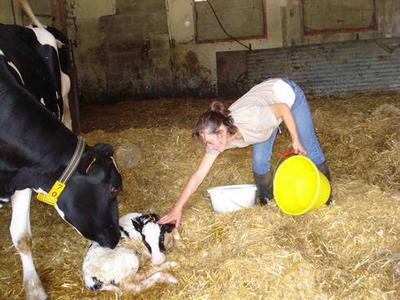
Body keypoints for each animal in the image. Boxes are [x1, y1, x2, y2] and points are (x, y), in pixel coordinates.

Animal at [0, 24, 122, 300]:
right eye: (114, 188)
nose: (117, 237)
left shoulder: (25, 175)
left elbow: (21, 236)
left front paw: (34, 289)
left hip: (63, 98)